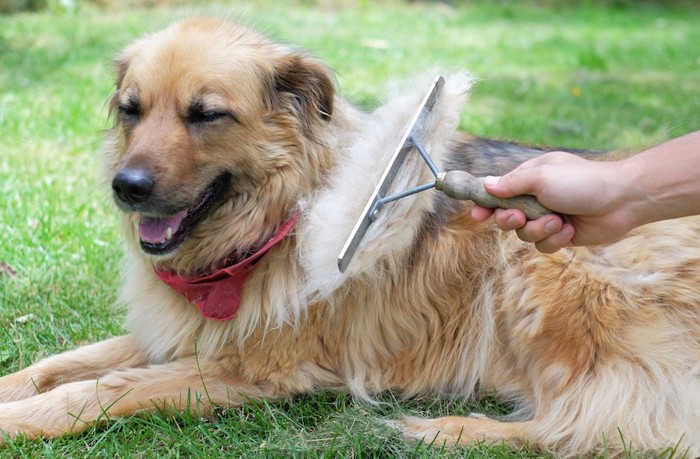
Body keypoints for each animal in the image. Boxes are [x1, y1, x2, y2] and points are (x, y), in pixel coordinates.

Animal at [0, 17, 696, 456]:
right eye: (132, 109)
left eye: (207, 114)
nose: (127, 186)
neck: (272, 226)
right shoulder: (183, 336)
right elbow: (61, 364)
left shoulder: (249, 368)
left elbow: (103, 389)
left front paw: (20, 420)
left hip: (542, 273)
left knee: (612, 427)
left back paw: (447, 431)